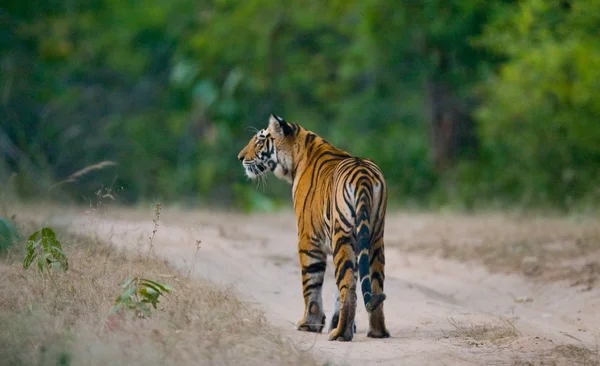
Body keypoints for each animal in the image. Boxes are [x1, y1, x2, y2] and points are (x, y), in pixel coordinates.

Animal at [237, 113, 392, 340]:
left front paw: (309, 323)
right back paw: (377, 331)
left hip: (342, 235)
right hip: (374, 237)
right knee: (372, 285)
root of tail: (363, 175)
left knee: (347, 287)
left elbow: (311, 283)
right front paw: (335, 322)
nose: (240, 157)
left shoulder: (308, 239)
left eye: (259, 140)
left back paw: (340, 334)